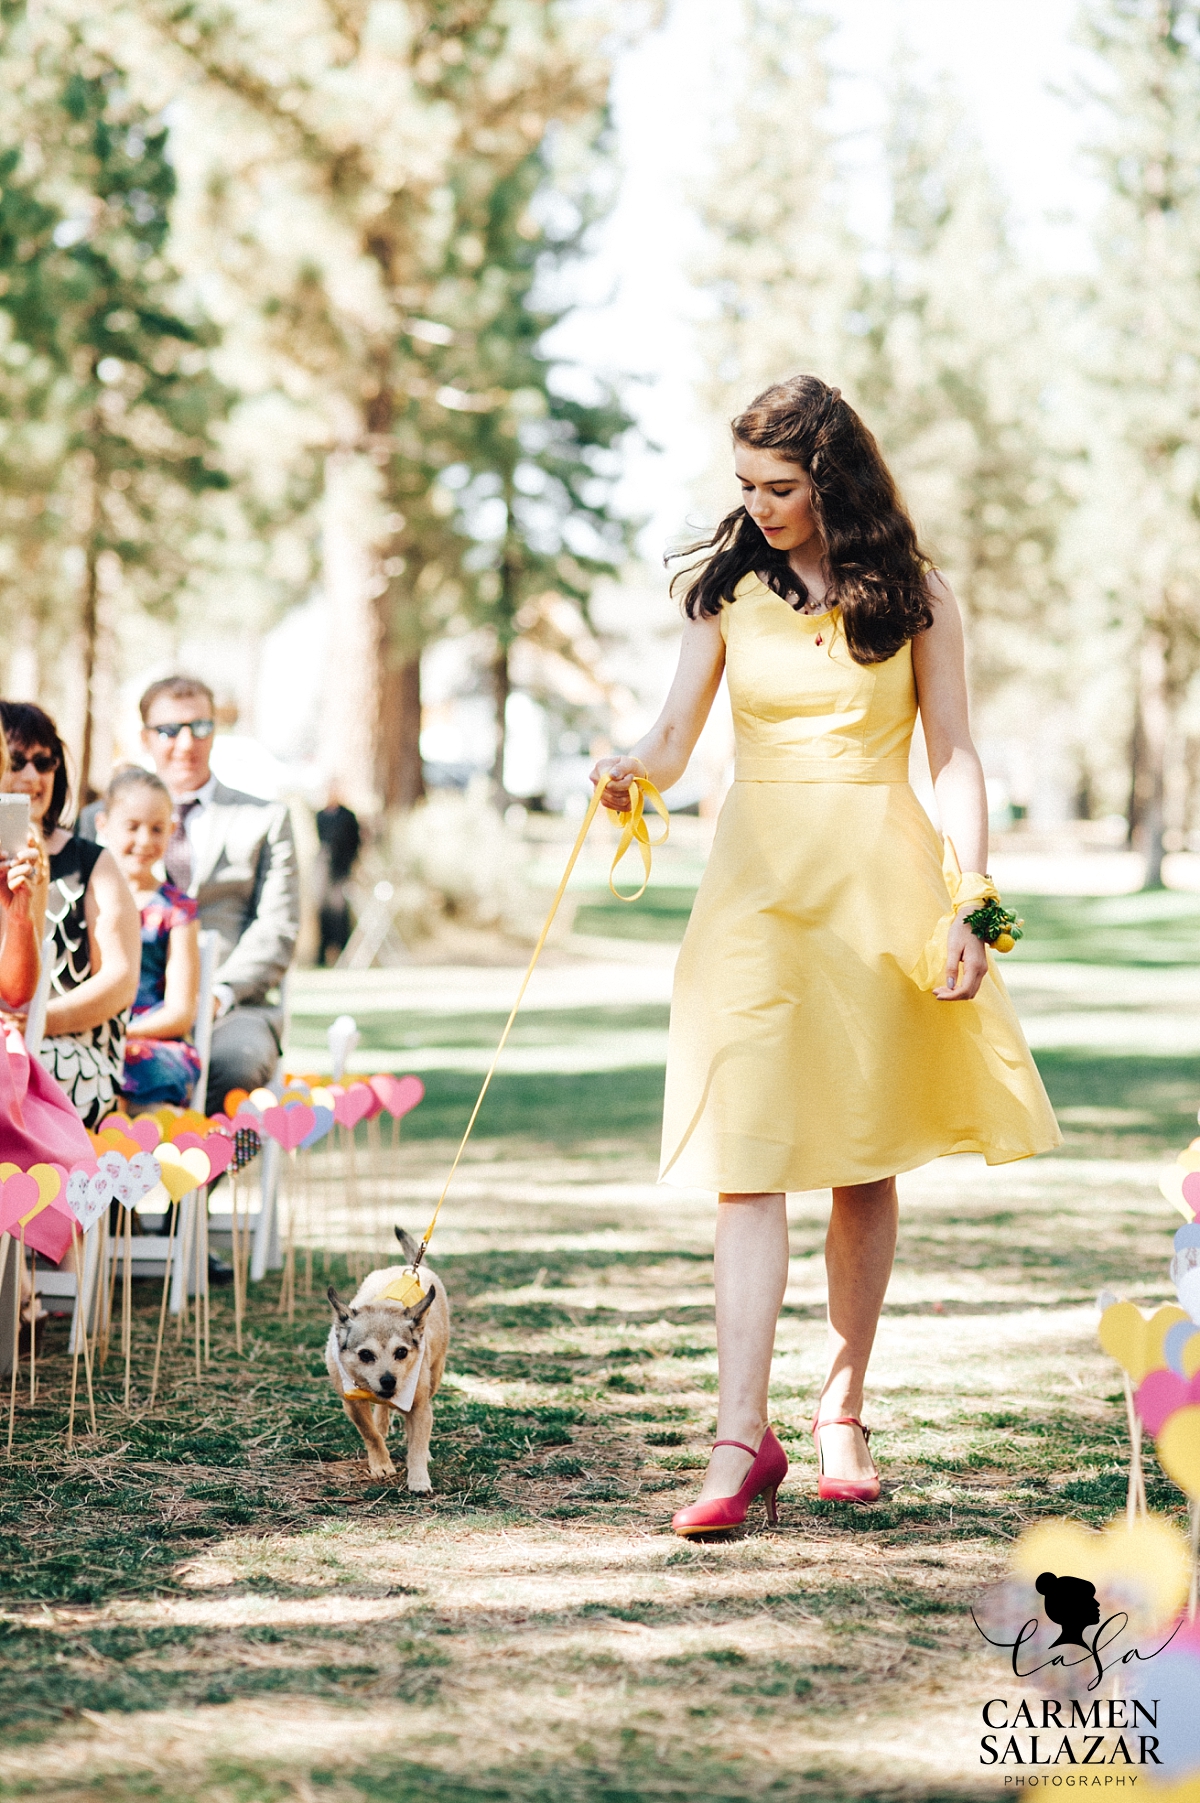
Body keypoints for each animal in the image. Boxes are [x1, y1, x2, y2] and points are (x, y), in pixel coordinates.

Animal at [322, 1226, 448, 1492]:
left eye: (401, 1352)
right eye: (365, 1355)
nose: (389, 1381)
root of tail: (410, 1268)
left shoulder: (419, 1405)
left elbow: (417, 1443)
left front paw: (418, 1477)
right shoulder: (352, 1403)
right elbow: (370, 1433)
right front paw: (381, 1464)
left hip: (436, 1374)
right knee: (381, 1412)